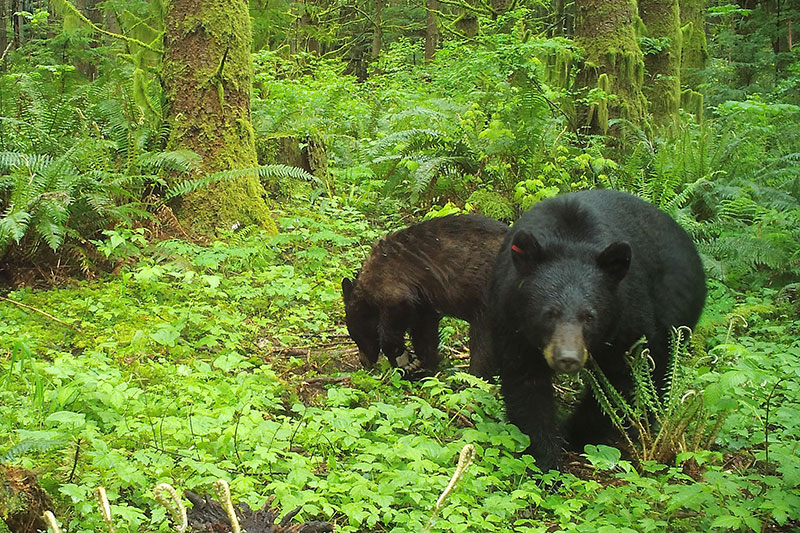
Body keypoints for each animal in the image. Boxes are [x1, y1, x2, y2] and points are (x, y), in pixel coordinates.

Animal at [341, 214, 509, 378]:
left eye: (357, 336)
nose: (364, 362)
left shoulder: (392, 283)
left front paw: (406, 360)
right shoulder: (423, 301)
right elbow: (425, 330)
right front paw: (425, 366)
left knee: (482, 341)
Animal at [488, 189, 706, 471]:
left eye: (589, 316)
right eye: (549, 313)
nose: (567, 358)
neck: (570, 239)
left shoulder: (628, 316)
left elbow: (622, 380)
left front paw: (574, 433)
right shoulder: (512, 319)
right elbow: (526, 385)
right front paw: (544, 458)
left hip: (674, 310)